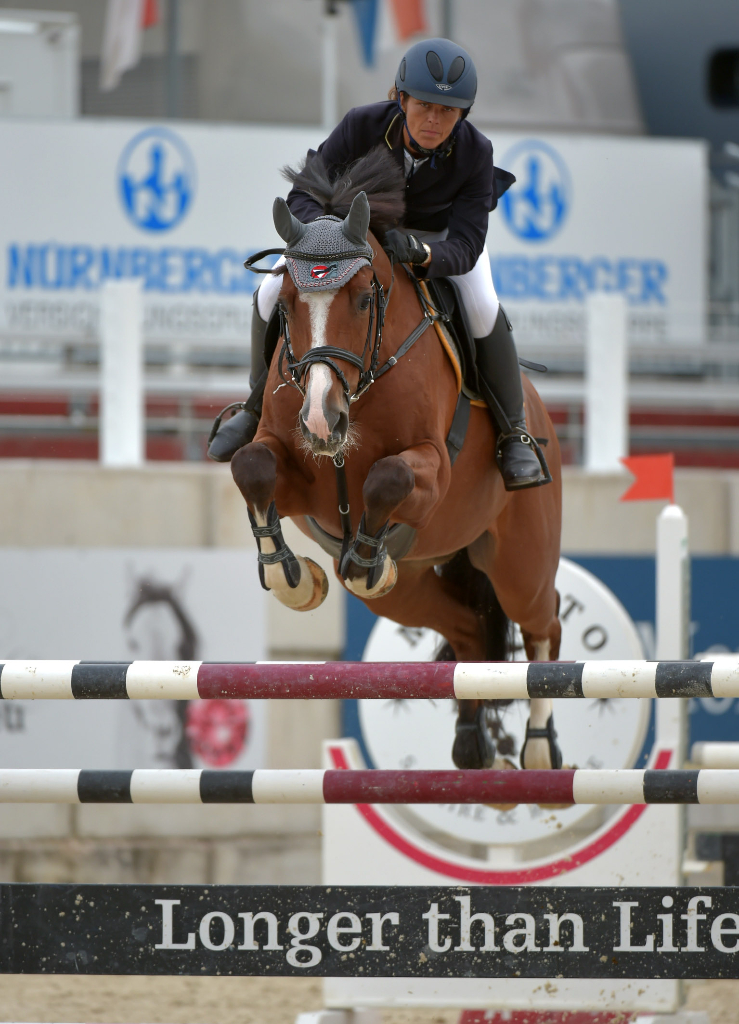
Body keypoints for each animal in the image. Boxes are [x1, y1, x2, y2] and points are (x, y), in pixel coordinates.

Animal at [227, 148, 560, 774]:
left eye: (364, 299)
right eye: (285, 306)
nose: (322, 421)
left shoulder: (430, 469)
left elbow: (389, 476)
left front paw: (363, 558)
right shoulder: (295, 472)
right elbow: (251, 466)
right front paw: (293, 577)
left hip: (519, 564)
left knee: (543, 625)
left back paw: (539, 748)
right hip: (414, 588)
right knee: (468, 630)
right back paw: (472, 744)